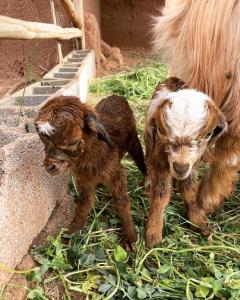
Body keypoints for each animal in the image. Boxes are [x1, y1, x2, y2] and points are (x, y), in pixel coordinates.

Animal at [34, 95, 145, 251]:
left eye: (72, 142)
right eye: (43, 141)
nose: (50, 167)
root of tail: (116, 96)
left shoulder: (116, 173)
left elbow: (121, 202)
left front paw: (129, 237)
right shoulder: (84, 179)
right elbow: (84, 203)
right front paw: (72, 232)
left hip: (134, 139)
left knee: (140, 159)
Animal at [144, 78, 227, 248]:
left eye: (208, 134)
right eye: (161, 131)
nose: (180, 168)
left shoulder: (193, 164)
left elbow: (189, 191)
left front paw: (198, 222)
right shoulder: (161, 160)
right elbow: (161, 195)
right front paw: (153, 234)